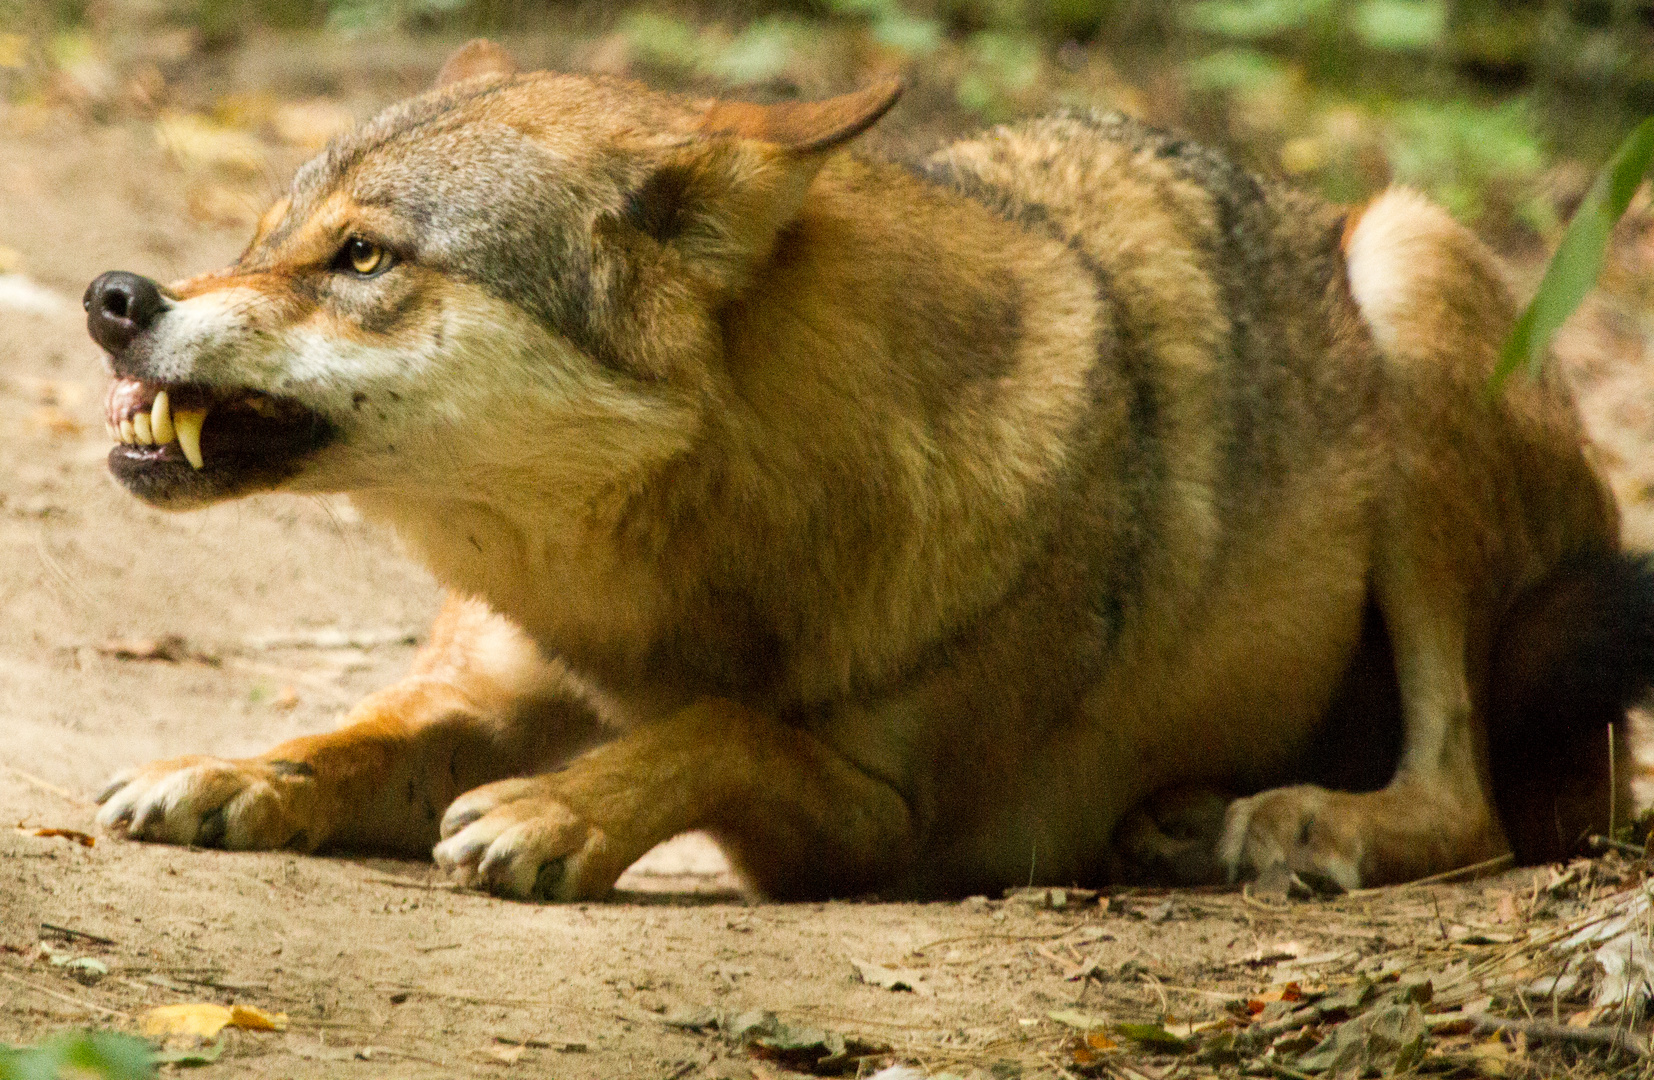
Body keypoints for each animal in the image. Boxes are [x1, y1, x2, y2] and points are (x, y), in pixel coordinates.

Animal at [83, 42, 1654, 899]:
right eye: (264, 236)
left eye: (363, 258)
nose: (115, 295)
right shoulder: (497, 688)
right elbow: (353, 735)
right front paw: (229, 770)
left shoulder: (884, 831)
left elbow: (719, 730)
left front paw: (556, 811)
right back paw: (1178, 825)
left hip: (1407, 273)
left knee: (1466, 800)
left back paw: (1302, 821)